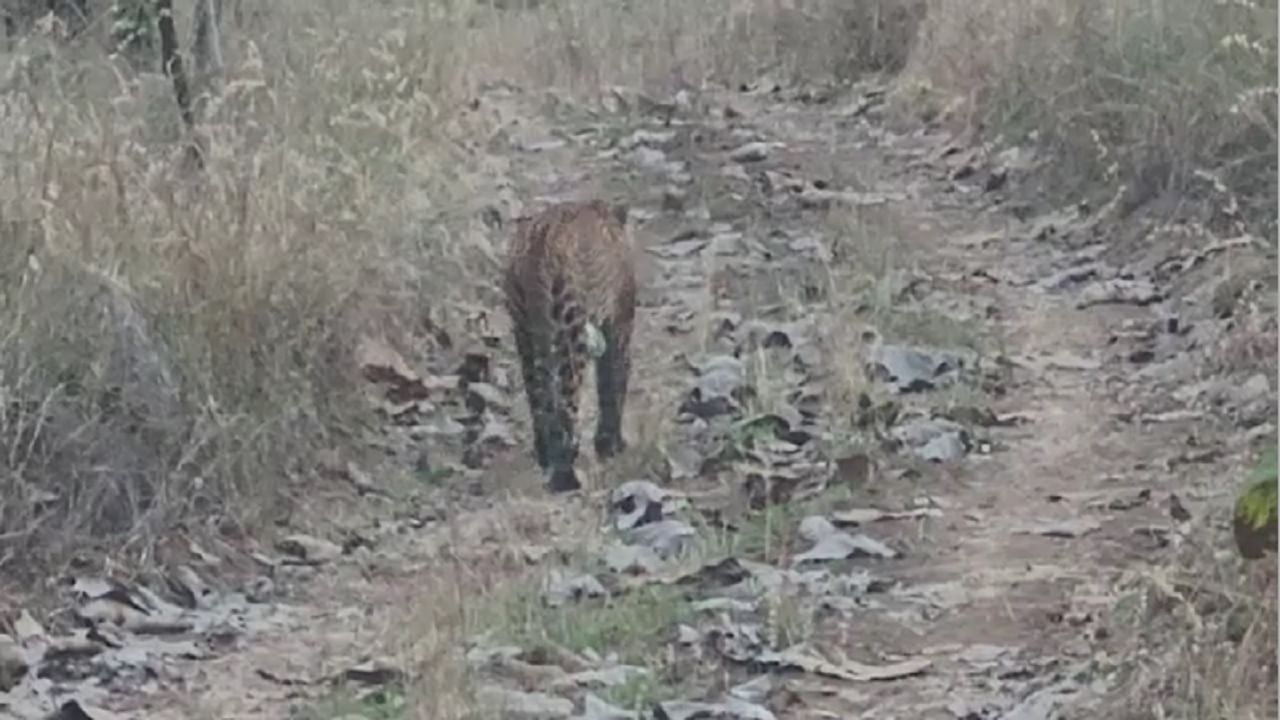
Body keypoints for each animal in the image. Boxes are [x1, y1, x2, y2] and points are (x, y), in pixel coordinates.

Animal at [501, 198, 637, 489]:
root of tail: (541, 240)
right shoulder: (619, 325)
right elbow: (613, 383)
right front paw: (611, 443)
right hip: (572, 331)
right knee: (566, 400)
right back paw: (565, 472)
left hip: (526, 332)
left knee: (539, 396)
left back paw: (547, 454)